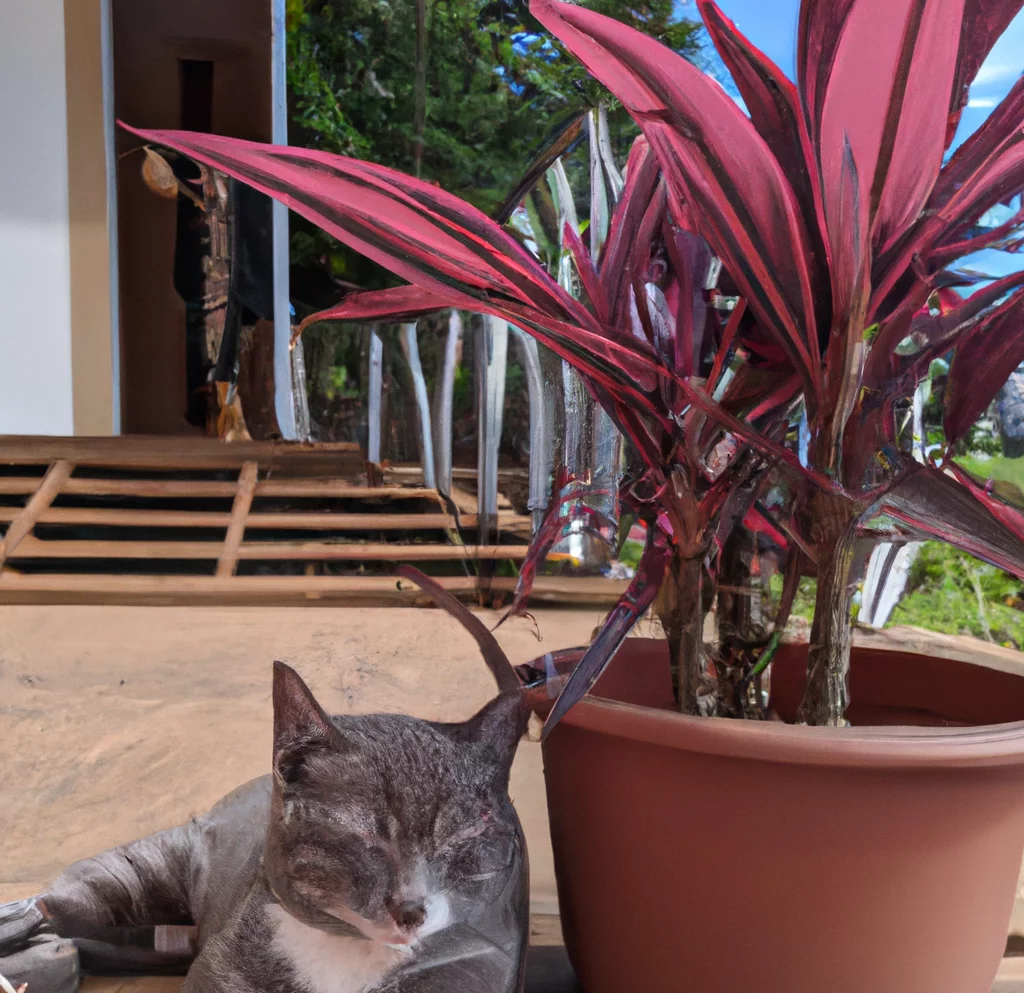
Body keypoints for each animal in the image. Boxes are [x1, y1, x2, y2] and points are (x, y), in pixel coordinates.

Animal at [0, 565, 528, 990]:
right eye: (363, 835)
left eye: (462, 839)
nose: (411, 910)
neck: (351, 955)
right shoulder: (219, 972)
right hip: (123, 880)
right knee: (52, 905)